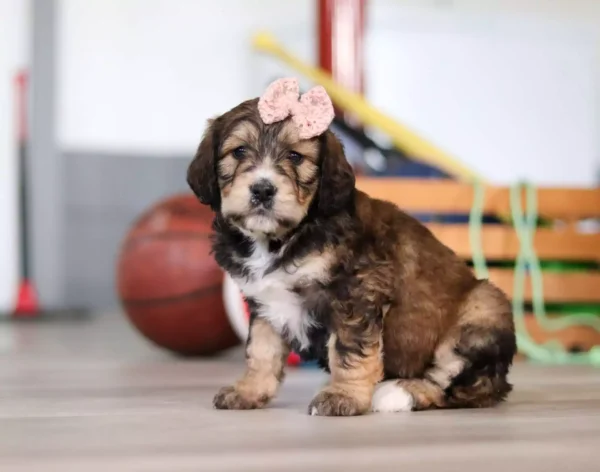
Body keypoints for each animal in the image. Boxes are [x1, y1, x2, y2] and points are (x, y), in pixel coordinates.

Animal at [188, 78, 516, 416]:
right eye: (238, 152)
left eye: (295, 157)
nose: (263, 189)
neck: (281, 238)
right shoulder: (264, 301)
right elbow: (261, 350)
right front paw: (249, 391)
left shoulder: (355, 291)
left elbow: (348, 350)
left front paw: (343, 396)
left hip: (484, 308)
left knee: (458, 386)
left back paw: (397, 393)